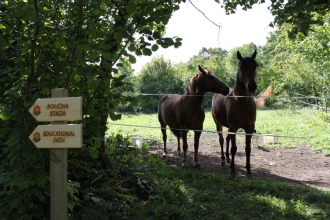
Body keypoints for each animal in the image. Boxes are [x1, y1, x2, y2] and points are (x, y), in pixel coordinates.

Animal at [213, 49, 260, 177]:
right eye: (241, 67)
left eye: (255, 66)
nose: (251, 86)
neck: (242, 102)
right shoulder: (234, 126)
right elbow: (234, 148)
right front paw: (232, 171)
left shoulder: (249, 128)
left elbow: (248, 148)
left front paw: (248, 171)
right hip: (218, 124)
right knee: (222, 139)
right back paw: (223, 160)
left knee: (227, 138)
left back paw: (228, 158)